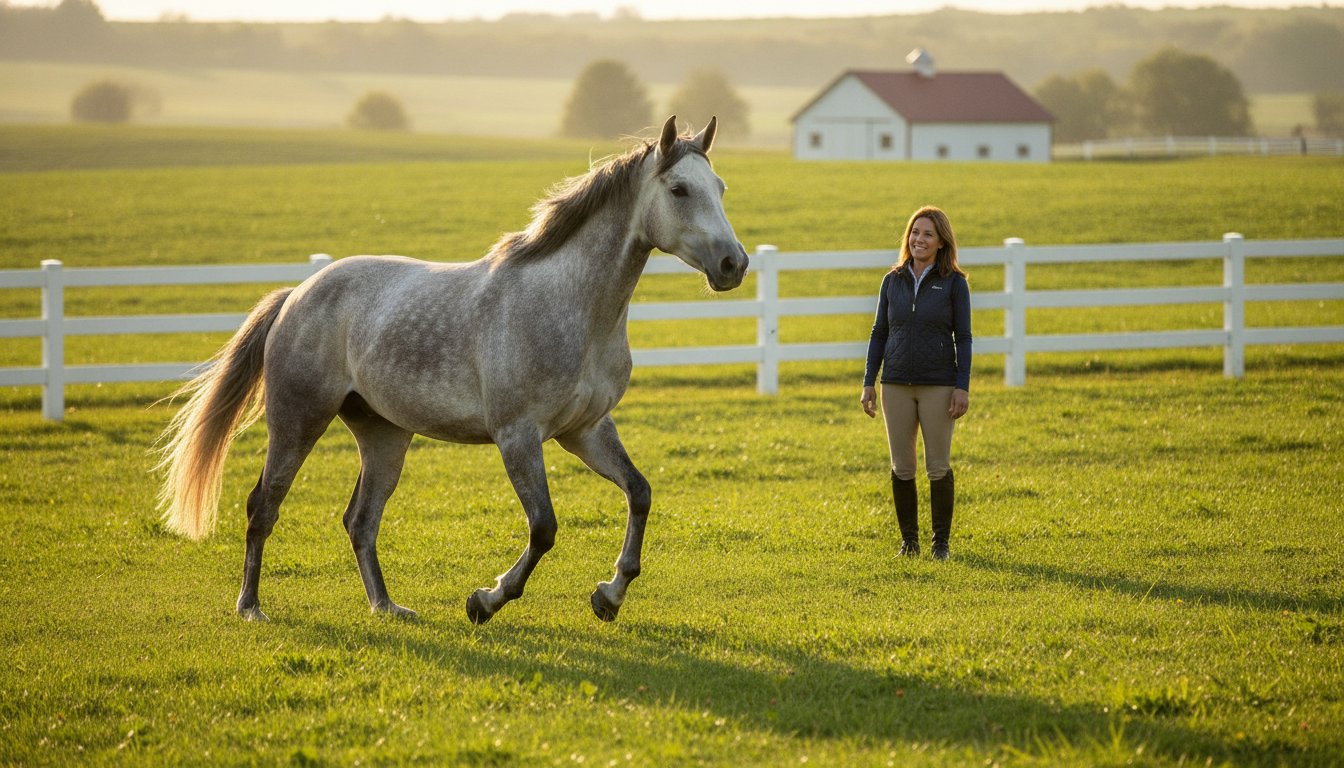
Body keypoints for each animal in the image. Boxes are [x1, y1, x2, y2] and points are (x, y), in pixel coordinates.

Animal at [155, 115, 748, 625]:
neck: (572, 307)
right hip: (298, 422)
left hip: (384, 434)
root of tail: (296, 295)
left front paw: (609, 596)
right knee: (264, 507)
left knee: (360, 520)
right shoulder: (518, 436)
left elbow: (639, 493)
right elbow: (544, 528)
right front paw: (486, 600)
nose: (733, 264)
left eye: (719, 187)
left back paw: (387, 607)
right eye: (679, 190)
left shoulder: (585, 431)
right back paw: (251, 606)